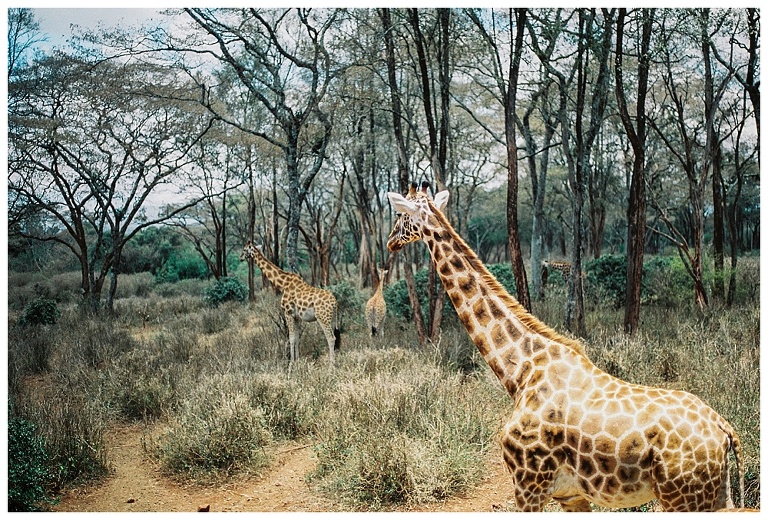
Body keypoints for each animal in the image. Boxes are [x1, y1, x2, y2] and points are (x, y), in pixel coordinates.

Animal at [388, 187, 740, 512]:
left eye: (399, 216)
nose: (390, 242)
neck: (521, 371)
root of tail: (724, 430)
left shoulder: (528, 485)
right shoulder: (570, 495)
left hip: (683, 498)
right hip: (715, 494)